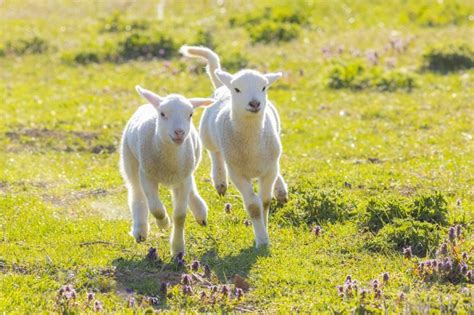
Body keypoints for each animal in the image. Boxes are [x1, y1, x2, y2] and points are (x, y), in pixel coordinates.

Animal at [119, 86, 214, 256]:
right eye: (163, 114)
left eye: (190, 114)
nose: (179, 132)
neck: (169, 160)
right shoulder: (147, 175)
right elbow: (156, 208)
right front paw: (163, 223)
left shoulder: (183, 178)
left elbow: (180, 216)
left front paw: (178, 249)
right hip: (130, 161)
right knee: (136, 193)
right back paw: (140, 230)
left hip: (187, 169)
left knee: (191, 188)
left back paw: (200, 212)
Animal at [180, 45, 286, 247]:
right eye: (237, 89)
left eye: (263, 87)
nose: (255, 103)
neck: (252, 143)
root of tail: (222, 86)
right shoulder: (237, 172)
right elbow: (253, 206)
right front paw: (262, 240)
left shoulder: (268, 168)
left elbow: (264, 201)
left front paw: (264, 227)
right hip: (208, 136)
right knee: (215, 153)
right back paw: (220, 181)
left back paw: (281, 190)